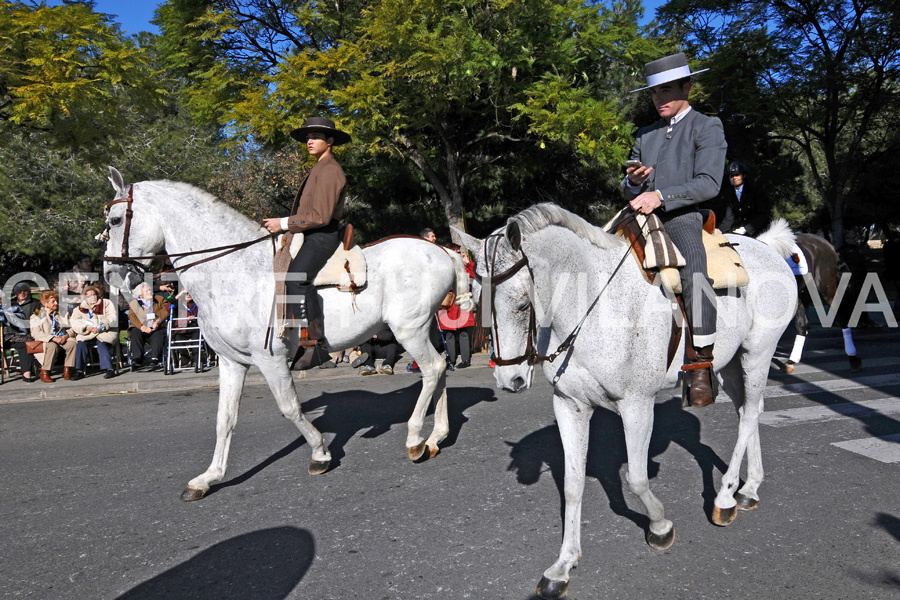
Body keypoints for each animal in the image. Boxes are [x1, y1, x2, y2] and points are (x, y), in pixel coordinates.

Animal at [460, 204, 800, 596]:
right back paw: (749, 489)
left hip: (758, 354)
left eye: (522, 304)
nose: (509, 379)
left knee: (748, 417)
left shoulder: (637, 406)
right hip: (731, 363)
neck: (592, 305)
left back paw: (726, 497)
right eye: (475, 299)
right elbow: (573, 486)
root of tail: (766, 248)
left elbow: (636, 479)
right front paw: (562, 566)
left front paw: (660, 527)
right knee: (750, 410)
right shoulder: (569, 406)